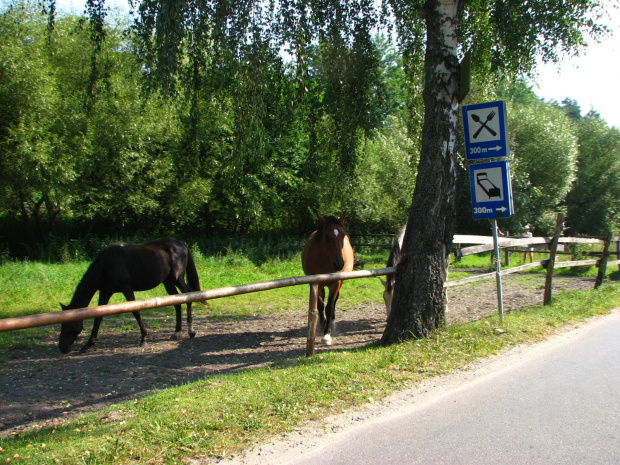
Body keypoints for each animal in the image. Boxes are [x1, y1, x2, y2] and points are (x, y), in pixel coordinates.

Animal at [58, 237, 201, 354]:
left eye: (67, 324)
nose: (62, 348)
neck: (106, 264)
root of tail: (182, 245)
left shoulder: (126, 288)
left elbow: (135, 311)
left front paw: (143, 338)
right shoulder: (105, 292)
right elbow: (98, 317)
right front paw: (88, 344)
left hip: (177, 278)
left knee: (189, 297)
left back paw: (191, 331)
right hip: (168, 281)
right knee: (177, 302)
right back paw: (176, 332)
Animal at [300, 214, 354, 344]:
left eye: (343, 235)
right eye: (327, 236)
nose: (339, 264)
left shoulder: (336, 283)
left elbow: (329, 307)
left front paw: (327, 334)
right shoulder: (316, 283)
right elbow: (320, 305)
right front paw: (322, 326)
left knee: (334, 301)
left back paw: (332, 322)